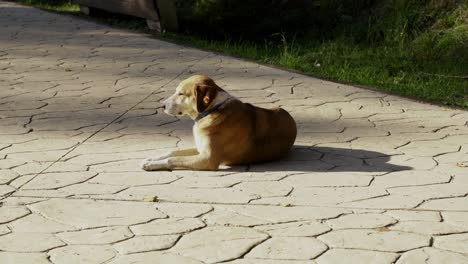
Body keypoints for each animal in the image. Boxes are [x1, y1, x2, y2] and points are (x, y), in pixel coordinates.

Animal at [141, 74, 298, 171]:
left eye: (181, 93)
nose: (162, 106)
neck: (212, 110)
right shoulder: (201, 149)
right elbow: (173, 151)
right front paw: (152, 159)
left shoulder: (207, 159)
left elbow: (173, 160)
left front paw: (151, 165)